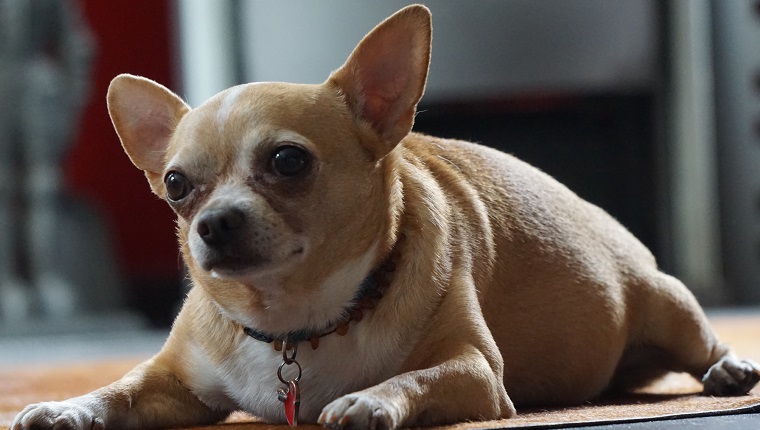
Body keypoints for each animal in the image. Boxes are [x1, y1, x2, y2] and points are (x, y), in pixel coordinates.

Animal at [11, 4, 760, 430]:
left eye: (288, 161)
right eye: (175, 185)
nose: (212, 223)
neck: (298, 323)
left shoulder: (473, 371)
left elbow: (415, 376)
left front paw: (371, 400)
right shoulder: (174, 385)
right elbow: (120, 389)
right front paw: (68, 406)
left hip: (668, 306)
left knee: (703, 344)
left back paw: (730, 370)